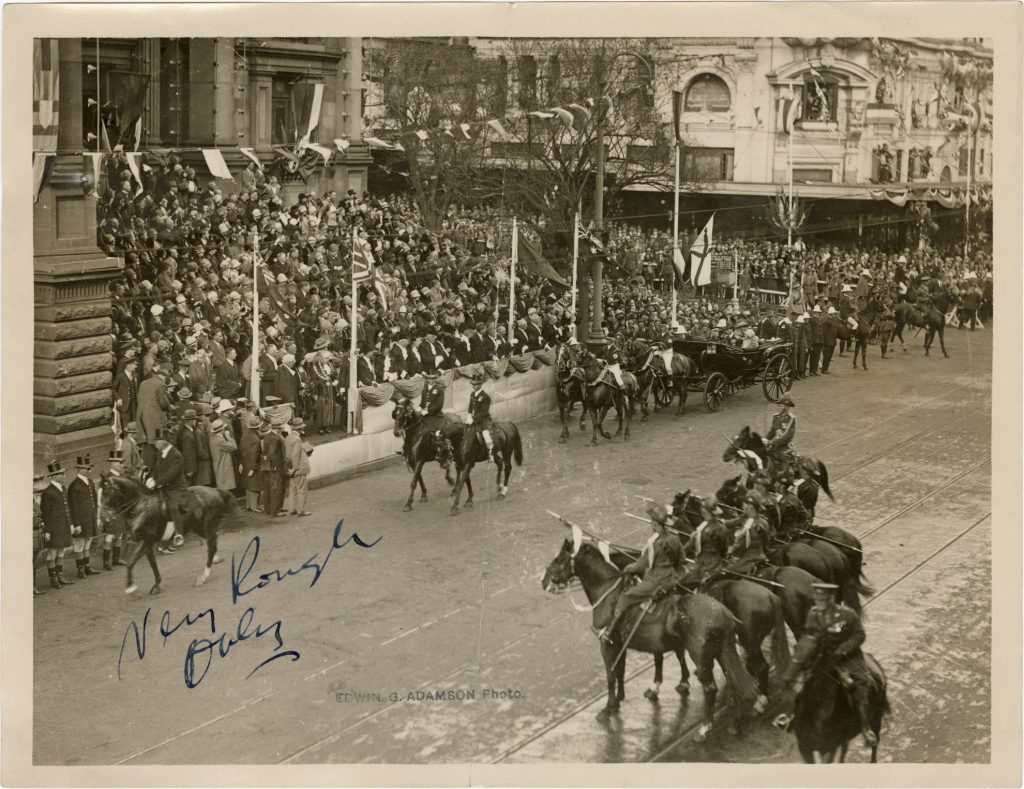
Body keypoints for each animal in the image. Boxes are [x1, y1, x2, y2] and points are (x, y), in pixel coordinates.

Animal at [96, 472, 232, 597]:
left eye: (106, 491)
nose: (102, 519)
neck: (141, 506)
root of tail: (215, 490)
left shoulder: (146, 540)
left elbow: (131, 562)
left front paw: (130, 587)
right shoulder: (147, 543)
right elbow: (152, 563)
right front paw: (156, 585)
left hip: (208, 526)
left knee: (211, 547)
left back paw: (203, 577)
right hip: (198, 527)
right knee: (213, 543)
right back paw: (215, 560)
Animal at [544, 536, 761, 740]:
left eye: (559, 559)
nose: (543, 581)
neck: (609, 594)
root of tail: (722, 612)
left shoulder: (607, 645)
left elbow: (611, 675)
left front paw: (608, 708)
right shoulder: (620, 645)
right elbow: (621, 671)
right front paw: (619, 700)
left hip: (701, 658)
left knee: (711, 689)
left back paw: (704, 728)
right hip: (722, 653)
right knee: (734, 681)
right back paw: (735, 724)